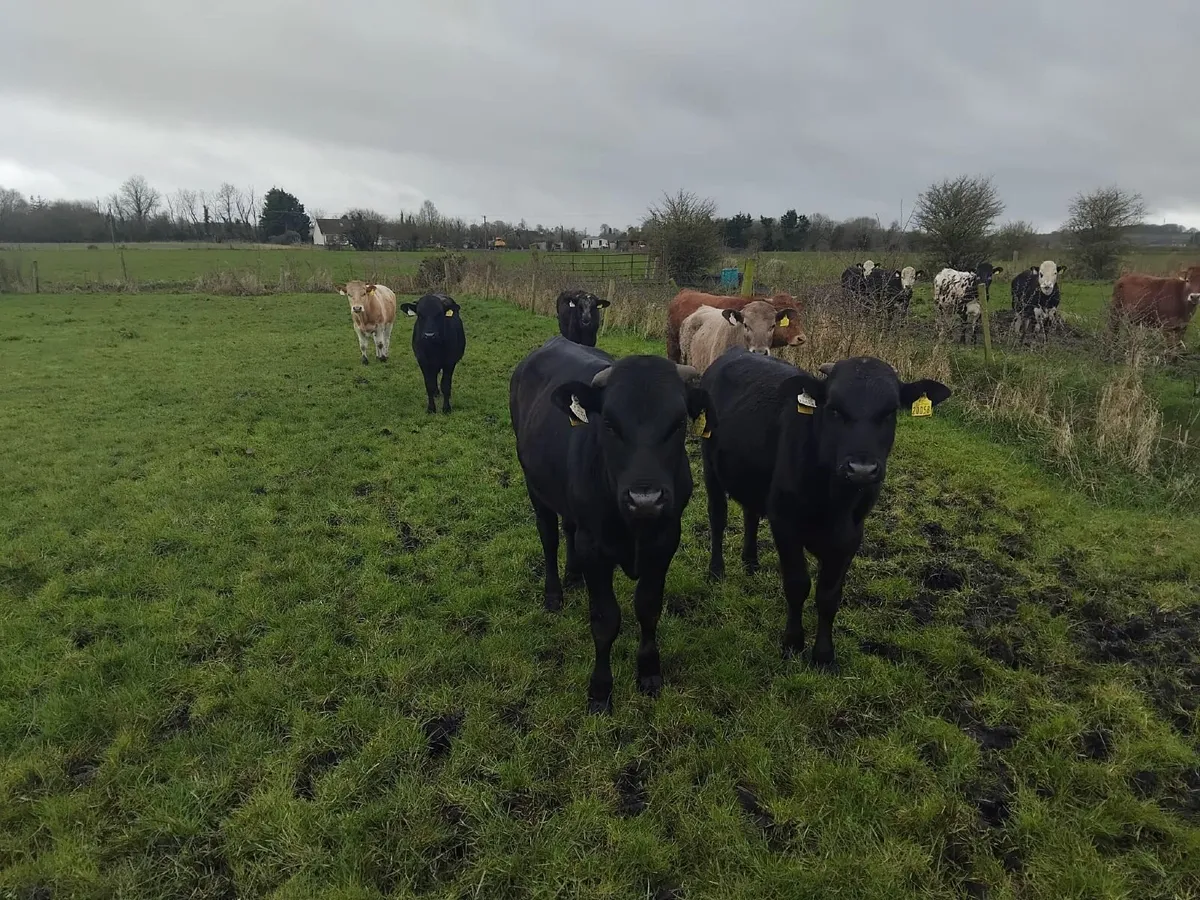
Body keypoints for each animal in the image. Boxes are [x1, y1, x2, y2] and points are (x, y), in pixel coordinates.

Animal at [509, 336, 706, 713]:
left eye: (678, 423)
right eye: (610, 424)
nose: (645, 498)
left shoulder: (665, 541)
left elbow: (648, 608)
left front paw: (649, 672)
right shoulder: (595, 550)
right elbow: (605, 620)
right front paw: (600, 690)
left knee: (568, 528)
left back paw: (573, 575)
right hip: (535, 487)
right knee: (549, 537)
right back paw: (554, 593)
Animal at [699, 349, 951, 670]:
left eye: (890, 411)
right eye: (834, 409)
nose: (861, 469)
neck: (833, 502)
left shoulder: (850, 536)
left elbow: (829, 596)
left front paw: (823, 655)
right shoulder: (785, 524)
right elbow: (797, 585)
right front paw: (793, 642)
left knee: (751, 514)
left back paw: (751, 562)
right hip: (710, 465)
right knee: (718, 516)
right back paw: (716, 570)